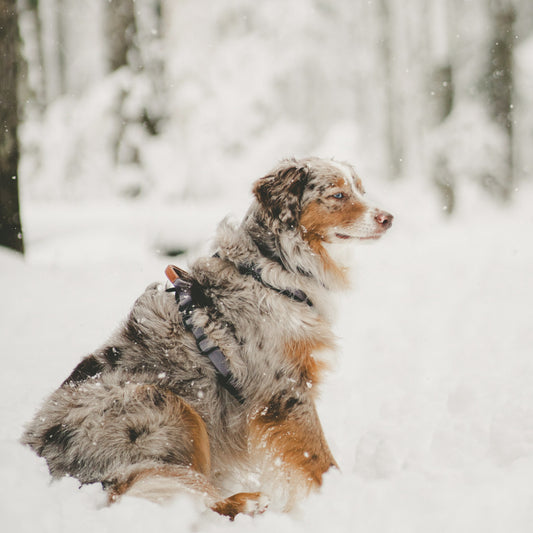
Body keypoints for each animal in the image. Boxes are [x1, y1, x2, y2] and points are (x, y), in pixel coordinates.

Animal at [21, 156, 390, 516]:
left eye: (360, 189)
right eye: (338, 195)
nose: (388, 218)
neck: (272, 271)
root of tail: (42, 457)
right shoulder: (284, 393)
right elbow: (319, 457)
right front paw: (343, 499)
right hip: (167, 404)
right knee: (168, 493)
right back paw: (247, 502)